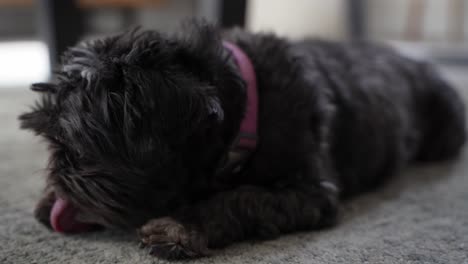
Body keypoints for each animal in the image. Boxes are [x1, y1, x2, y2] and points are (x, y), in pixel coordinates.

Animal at [19, 21, 464, 260]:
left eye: (76, 149)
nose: (58, 177)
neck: (250, 100)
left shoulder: (311, 192)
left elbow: (244, 198)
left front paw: (182, 226)